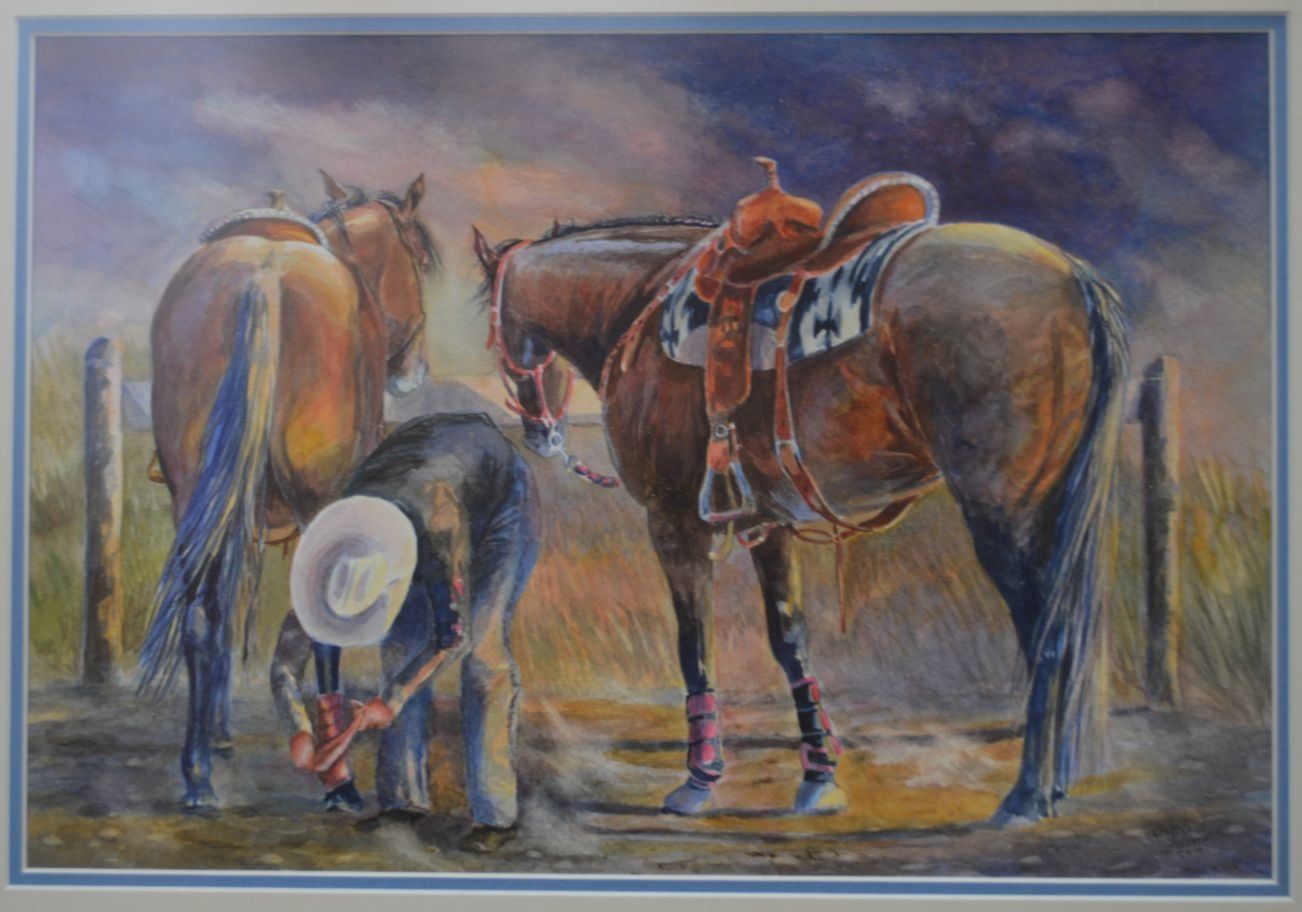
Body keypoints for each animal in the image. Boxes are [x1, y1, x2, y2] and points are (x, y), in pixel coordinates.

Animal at [138, 172, 438, 809]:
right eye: (420, 260)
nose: (413, 370)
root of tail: (263, 278)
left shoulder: (237, 517)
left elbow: (227, 608)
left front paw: (217, 730)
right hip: (318, 498)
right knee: (325, 616)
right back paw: (337, 779)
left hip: (192, 495)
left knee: (198, 614)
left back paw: (198, 776)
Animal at [472, 175, 1128, 826]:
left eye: (491, 324)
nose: (540, 433)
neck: (639, 303)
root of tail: (1073, 275)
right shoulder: (768, 522)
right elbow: (789, 640)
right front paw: (819, 776)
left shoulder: (674, 520)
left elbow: (694, 645)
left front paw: (700, 778)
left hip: (1004, 514)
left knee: (1046, 633)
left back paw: (1027, 795)